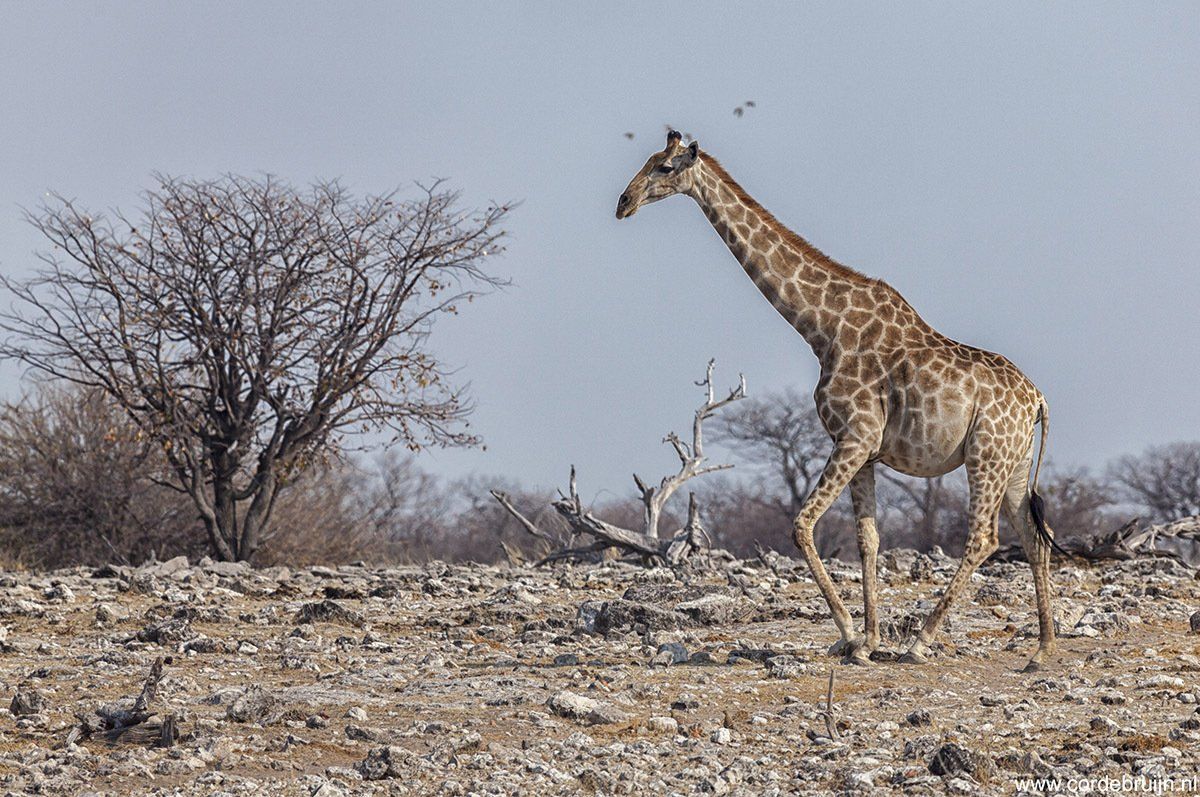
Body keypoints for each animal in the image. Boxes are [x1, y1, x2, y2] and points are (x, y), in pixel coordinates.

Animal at [616, 131, 1059, 672]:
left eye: (663, 167)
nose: (623, 202)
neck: (821, 328)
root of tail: (1038, 400)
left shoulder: (854, 436)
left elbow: (802, 525)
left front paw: (849, 634)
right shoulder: (864, 449)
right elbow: (868, 539)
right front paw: (867, 640)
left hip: (985, 455)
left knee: (984, 538)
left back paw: (921, 642)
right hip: (1014, 464)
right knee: (1034, 538)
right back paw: (1042, 648)